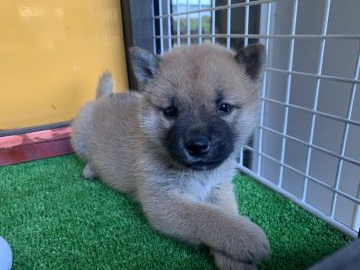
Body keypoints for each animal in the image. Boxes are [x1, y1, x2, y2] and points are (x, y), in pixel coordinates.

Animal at [71, 43, 270, 268]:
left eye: (224, 107)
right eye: (170, 111)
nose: (197, 146)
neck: (200, 174)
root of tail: (101, 98)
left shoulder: (219, 188)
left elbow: (226, 213)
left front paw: (234, 258)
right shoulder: (163, 201)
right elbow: (208, 216)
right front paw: (248, 237)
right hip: (79, 138)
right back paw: (91, 169)